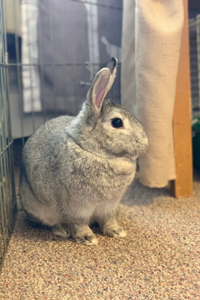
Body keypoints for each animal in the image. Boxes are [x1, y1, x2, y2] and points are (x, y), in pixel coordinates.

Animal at [19, 57, 148, 245]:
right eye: (117, 122)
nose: (146, 143)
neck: (94, 152)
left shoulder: (110, 205)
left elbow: (108, 219)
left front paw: (117, 232)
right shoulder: (76, 206)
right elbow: (78, 223)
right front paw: (88, 239)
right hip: (38, 208)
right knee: (49, 223)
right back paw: (62, 230)